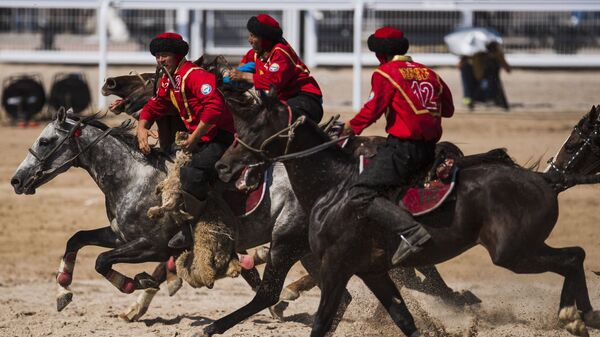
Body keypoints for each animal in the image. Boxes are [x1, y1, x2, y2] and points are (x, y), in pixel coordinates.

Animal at [213, 87, 600, 336]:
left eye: (254, 128)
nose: (222, 167)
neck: (333, 187)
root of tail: (545, 179)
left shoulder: (337, 267)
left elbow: (320, 321)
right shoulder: (372, 271)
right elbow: (404, 320)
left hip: (514, 253)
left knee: (571, 258)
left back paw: (574, 316)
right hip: (523, 248)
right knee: (576, 255)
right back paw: (581, 316)